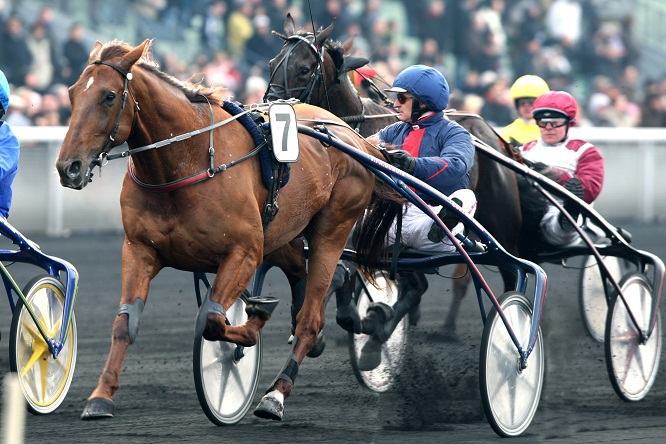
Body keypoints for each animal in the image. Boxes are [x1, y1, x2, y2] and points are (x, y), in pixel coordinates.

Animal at [55, 40, 400, 424]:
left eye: (109, 96)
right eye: (72, 93)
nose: (69, 167)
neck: (187, 161)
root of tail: (355, 138)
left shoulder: (243, 252)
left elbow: (212, 321)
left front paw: (254, 323)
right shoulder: (139, 249)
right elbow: (124, 324)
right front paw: (101, 396)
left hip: (332, 230)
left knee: (312, 315)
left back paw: (276, 394)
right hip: (283, 234)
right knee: (301, 276)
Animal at [262, 14, 520, 340]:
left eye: (304, 69)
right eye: (272, 62)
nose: (269, 107)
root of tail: (490, 132)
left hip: (502, 221)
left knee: (506, 269)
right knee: (418, 284)